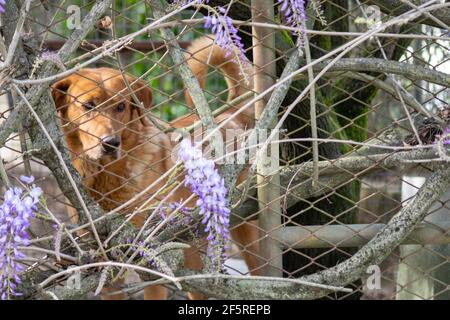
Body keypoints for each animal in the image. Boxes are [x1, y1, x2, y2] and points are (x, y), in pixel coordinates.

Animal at [50, 36, 258, 298]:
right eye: (88, 106)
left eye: (120, 107)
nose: (110, 143)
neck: (108, 177)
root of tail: (232, 112)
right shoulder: (106, 269)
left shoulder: (150, 260)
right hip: (191, 248)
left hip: (246, 231)